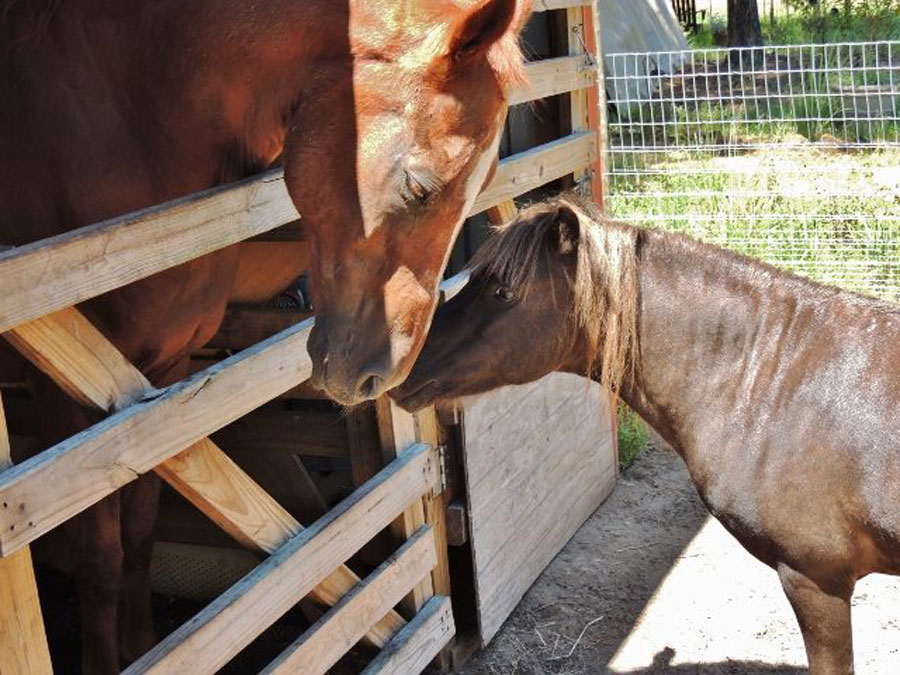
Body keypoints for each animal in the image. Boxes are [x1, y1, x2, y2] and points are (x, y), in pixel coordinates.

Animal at [0, 0, 532, 672]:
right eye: (419, 186)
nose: (378, 375)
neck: (131, 105)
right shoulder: (68, 401)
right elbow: (98, 558)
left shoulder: (152, 386)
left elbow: (139, 534)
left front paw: (144, 649)